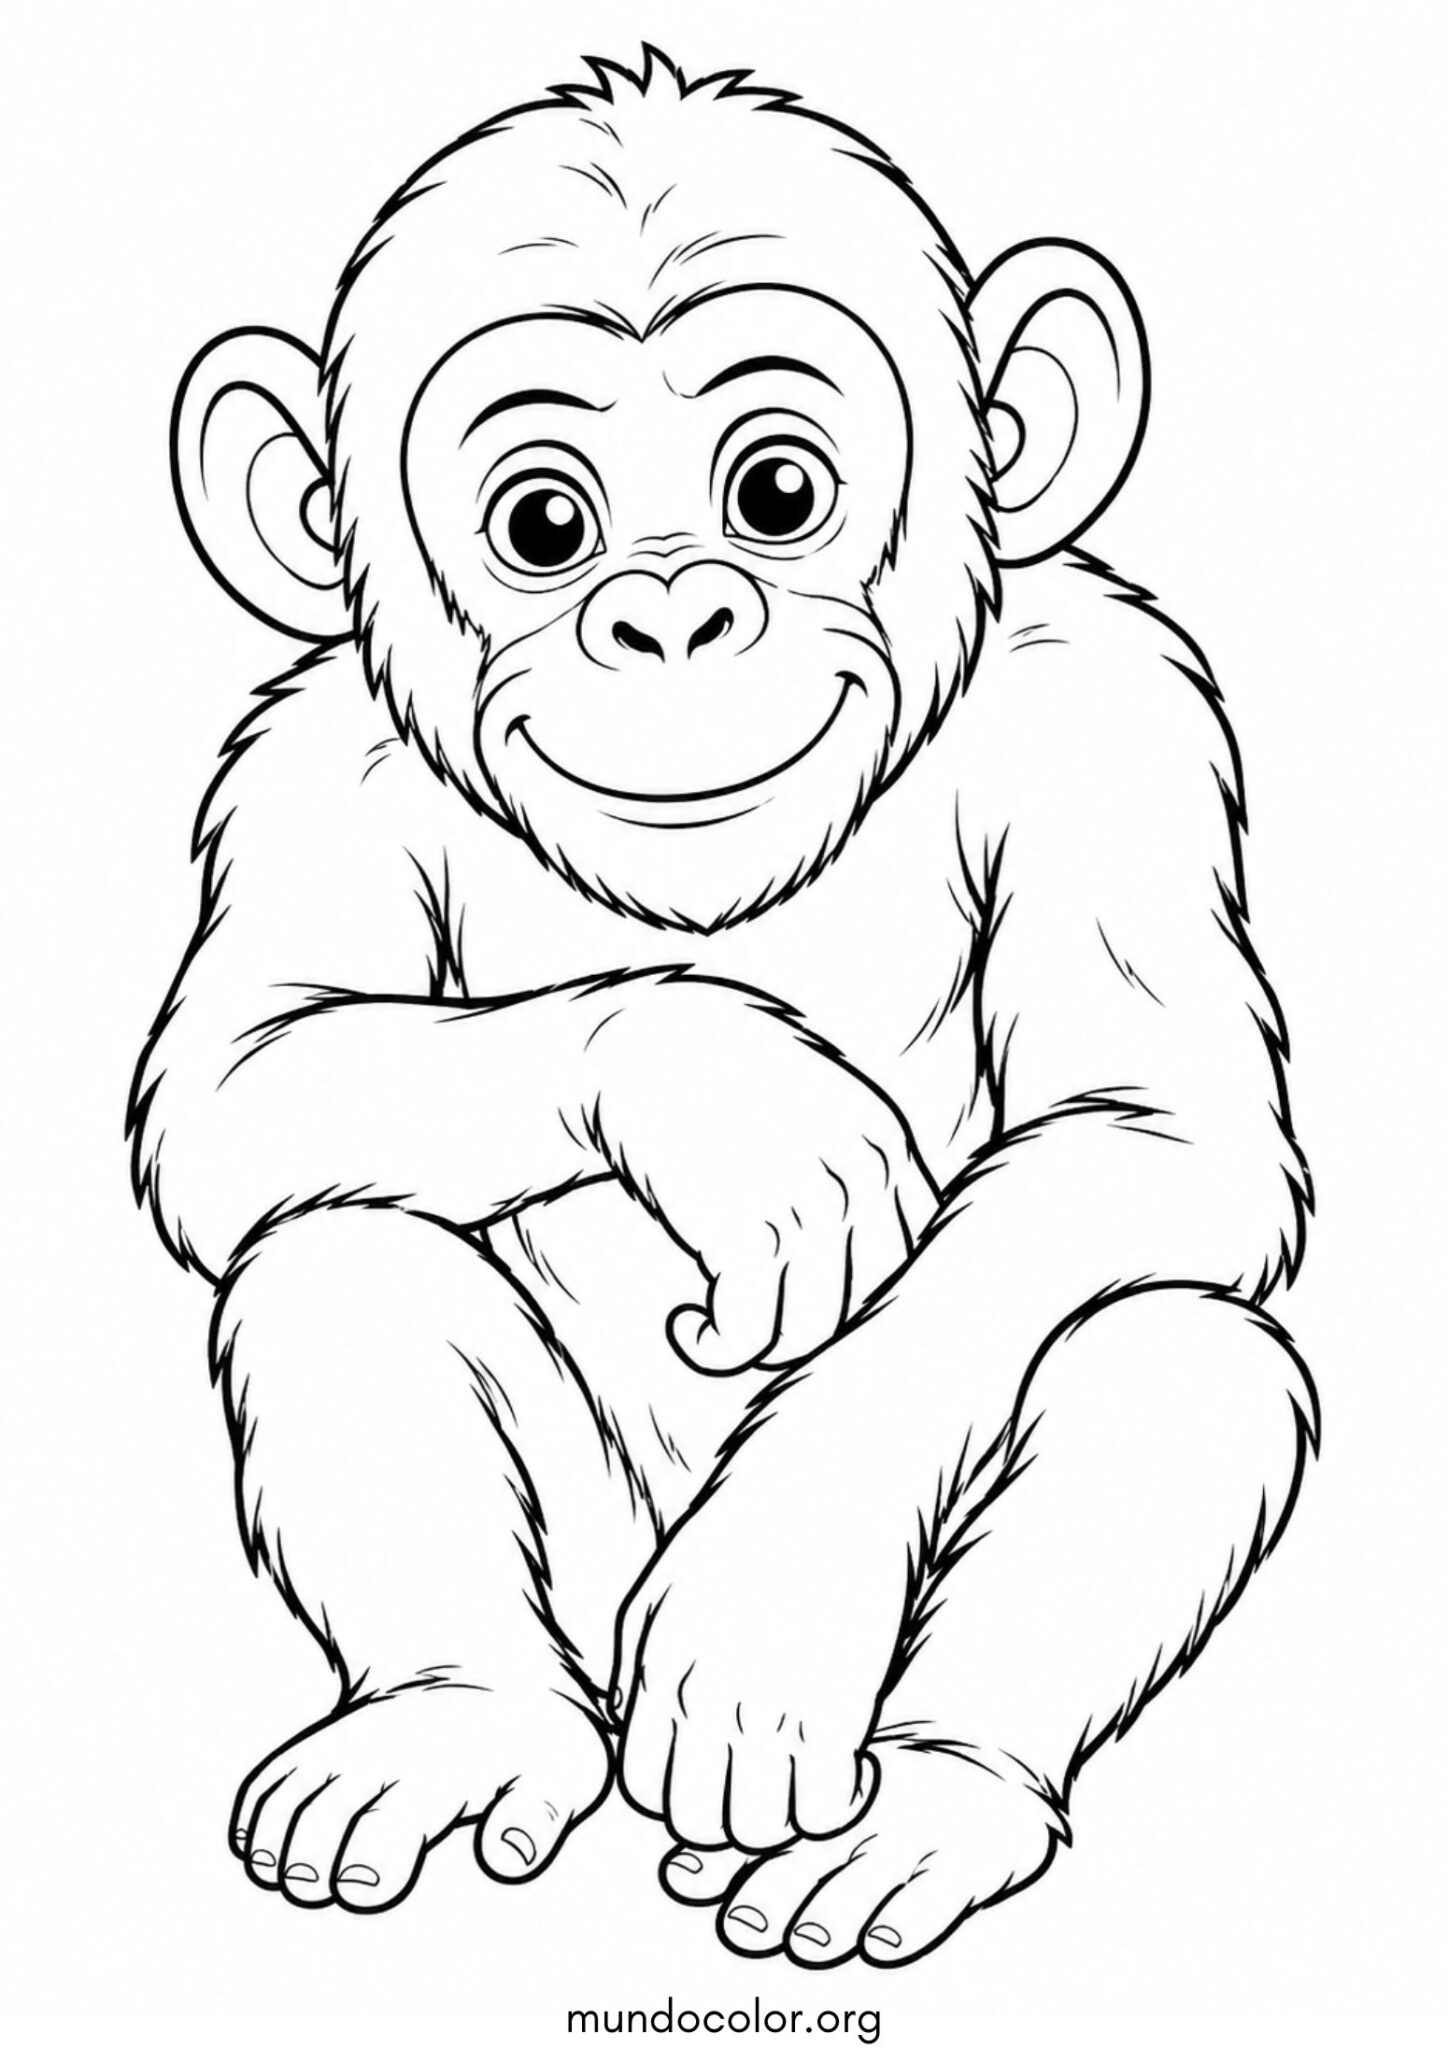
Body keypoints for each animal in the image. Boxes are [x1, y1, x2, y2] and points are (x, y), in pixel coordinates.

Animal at [130, 49, 1316, 1967]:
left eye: (777, 491)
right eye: (544, 523)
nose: (676, 614)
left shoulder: (1122, 709)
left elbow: (1157, 1117)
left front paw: (776, 1578)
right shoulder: (305, 764)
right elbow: (240, 1071)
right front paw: (722, 1089)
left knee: (1170, 1349)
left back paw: (927, 1805)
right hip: (575, 1578)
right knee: (336, 1245)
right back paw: (454, 1720)